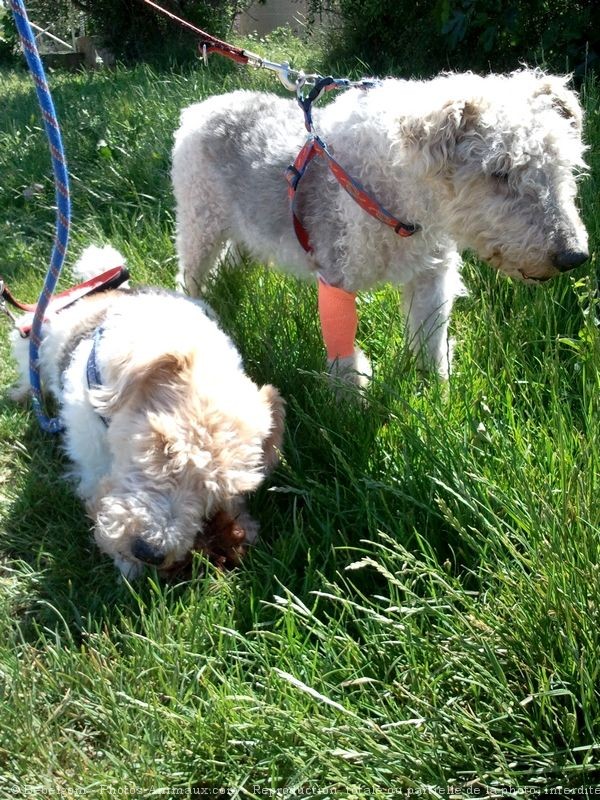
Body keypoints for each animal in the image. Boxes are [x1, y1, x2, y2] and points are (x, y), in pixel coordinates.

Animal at [9, 247, 286, 580]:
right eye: (164, 446)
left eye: (224, 488)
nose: (149, 552)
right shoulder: (91, 450)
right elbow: (97, 479)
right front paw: (125, 562)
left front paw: (241, 526)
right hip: (30, 337)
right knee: (29, 371)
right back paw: (22, 394)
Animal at [171, 68, 588, 382]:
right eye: (499, 171)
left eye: (564, 163)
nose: (574, 256)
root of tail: (197, 110)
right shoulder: (337, 278)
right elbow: (344, 356)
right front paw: (347, 410)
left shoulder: (431, 274)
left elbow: (431, 343)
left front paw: (437, 397)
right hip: (200, 222)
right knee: (190, 275)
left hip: (242, 228)